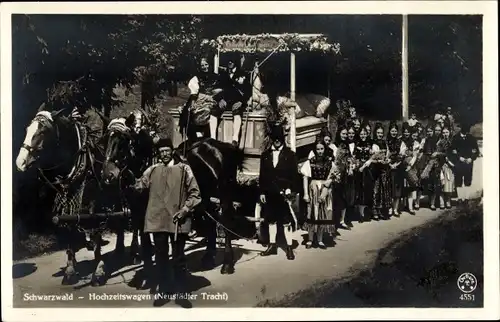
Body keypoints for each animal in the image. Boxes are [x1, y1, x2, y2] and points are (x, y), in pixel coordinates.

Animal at [15, 105, 129, 284]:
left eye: (43, 131)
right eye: (27, 129)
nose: (20, 162)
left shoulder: (95, 208)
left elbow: (96, 236)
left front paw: (99, 270)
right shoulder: (66, 205)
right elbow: (69, 232)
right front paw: (70, 270)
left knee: (123, 222)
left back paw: (121, 249)